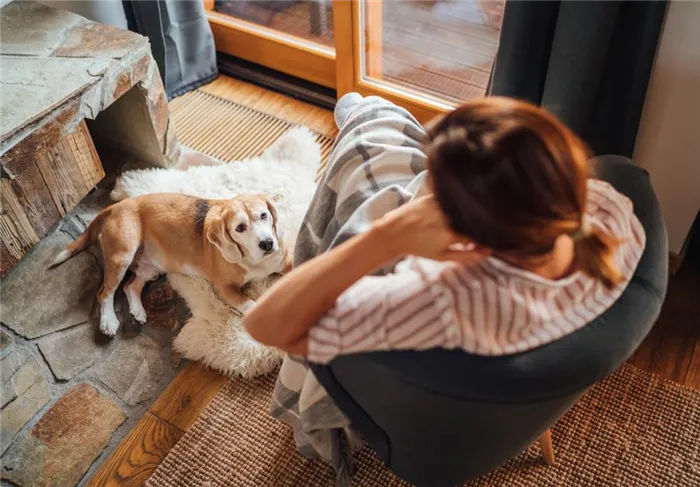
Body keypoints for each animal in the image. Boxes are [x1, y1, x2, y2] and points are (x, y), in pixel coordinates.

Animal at [50, 193, 290, 338]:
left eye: (264, 215)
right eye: (240, 228)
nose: (267, 243)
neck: (256, 260)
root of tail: (116, 206)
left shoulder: (286, 263)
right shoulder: (224, 288)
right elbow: (249, 304)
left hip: (151, 268)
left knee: (130, 286)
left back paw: (137, 310)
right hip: (122, 256)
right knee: (105, 292)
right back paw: (109, 321)